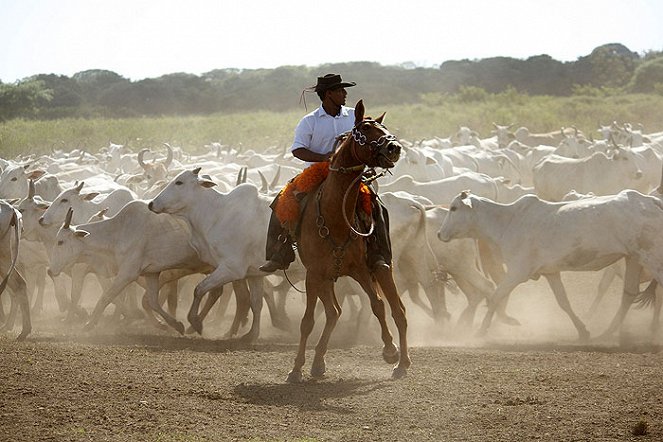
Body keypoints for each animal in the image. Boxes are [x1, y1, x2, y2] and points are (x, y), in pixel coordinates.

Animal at [288, 100, 412, 384]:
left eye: (383, 127)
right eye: (365, 129)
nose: (394, 147)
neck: (334, 216)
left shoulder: (360, 270)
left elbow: (378, 306)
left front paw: (390, 350)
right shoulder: (314, 274)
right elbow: (308, 321)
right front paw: (296, 368)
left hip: (380, 268)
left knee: (397, 311)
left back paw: (401, 363)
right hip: (327, 278)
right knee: (334, 312)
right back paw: (318, 363)